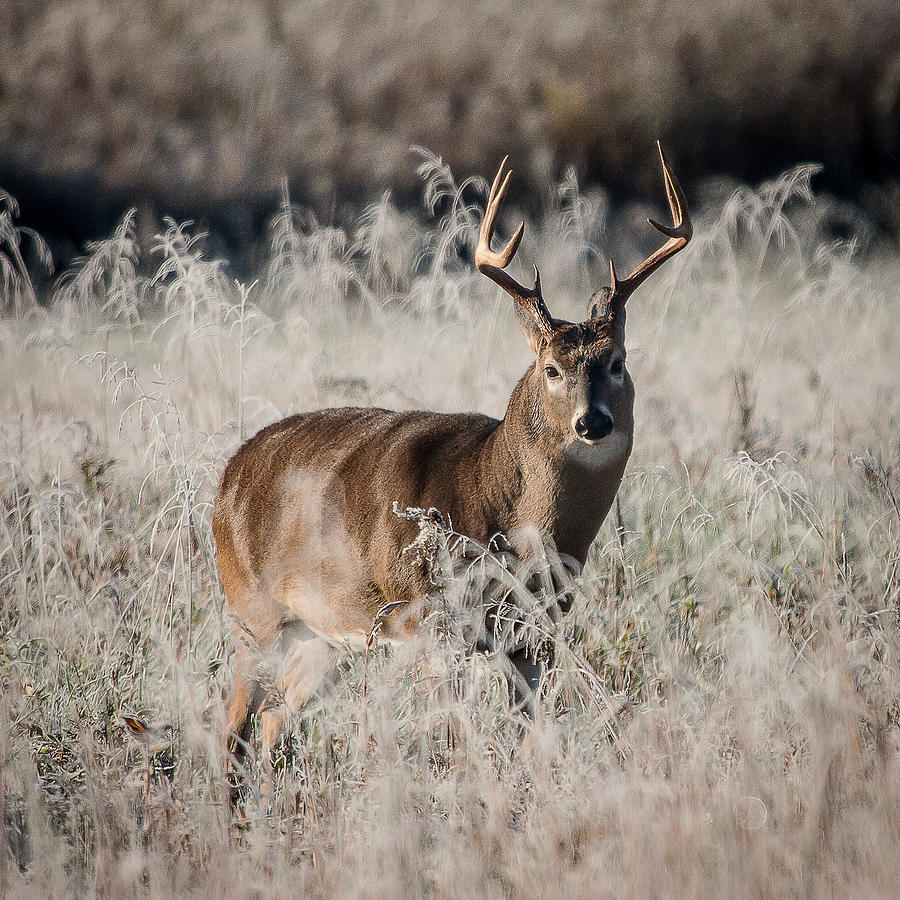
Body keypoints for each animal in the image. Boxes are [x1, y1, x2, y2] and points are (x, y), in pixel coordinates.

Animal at [214, 144, 692, 764]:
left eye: (617, 362)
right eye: (551, 368)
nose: (593, 422)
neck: (502, 508)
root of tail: (227, 478)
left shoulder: (537, 629)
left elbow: (528, 727)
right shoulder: (429, 620)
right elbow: (452, 733)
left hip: (324, 636)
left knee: (273, 719)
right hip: (254, 615)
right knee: (231, 725)